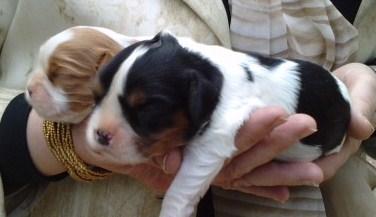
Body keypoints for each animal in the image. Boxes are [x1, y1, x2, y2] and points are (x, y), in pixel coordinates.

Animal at [86, 31, 352, 217]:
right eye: (95, 96)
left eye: (148, 109)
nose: (100, 135)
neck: (209, 68)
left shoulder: (213, 141)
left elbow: (180, 190)